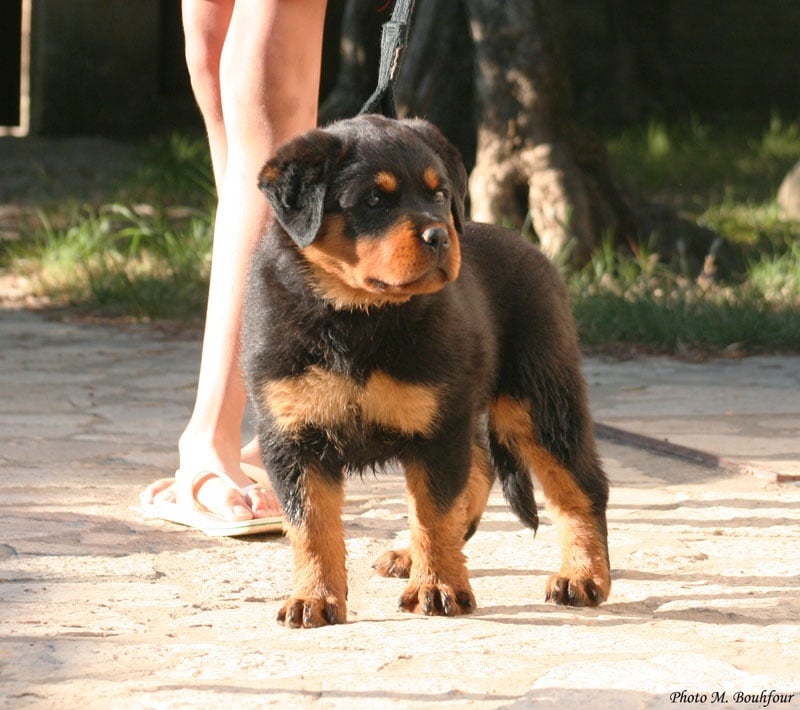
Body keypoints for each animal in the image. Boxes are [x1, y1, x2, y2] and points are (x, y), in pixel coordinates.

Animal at [242, 114, 610, 628]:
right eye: (374, 200)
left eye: (439, 194)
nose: (440, 236)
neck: (356, 316)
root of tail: (530, 247)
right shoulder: (293, 435)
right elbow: (311, 526)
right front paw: (314, 597)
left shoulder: (437, 424)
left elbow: (434, 514)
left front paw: (437, 587)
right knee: (481, 468)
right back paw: (408, 555)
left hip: (539, 396)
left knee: (579, 486)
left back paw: (583, 576)